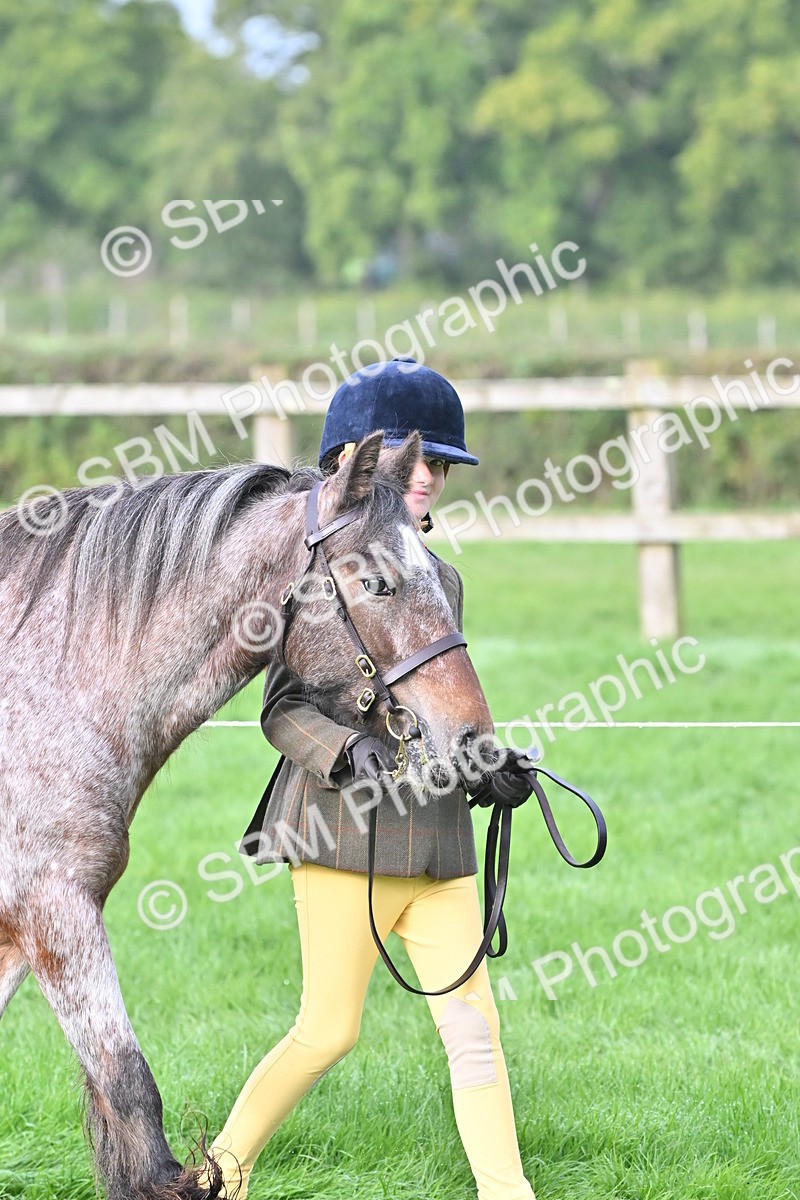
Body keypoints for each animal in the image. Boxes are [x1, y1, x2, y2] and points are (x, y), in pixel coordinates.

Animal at [0, 431, 494, 1200]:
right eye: (378, 584)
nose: (475, 738)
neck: (44, 685)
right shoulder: (53, 907)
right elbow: (130, 1088)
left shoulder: (19, 931)